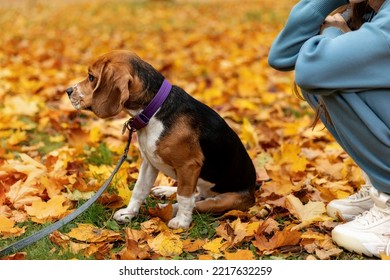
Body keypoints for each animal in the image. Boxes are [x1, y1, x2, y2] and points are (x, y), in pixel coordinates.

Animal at [66, 50, 256, 230]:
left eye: (91, 77)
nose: (68, 91)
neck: (154, 110)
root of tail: (254, 190)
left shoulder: (189, 165)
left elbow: (184, 196)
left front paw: (182, 222)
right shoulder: (149, 162)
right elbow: (139, 189)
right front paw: (129, 213)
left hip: (226, 199)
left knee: (198, 203)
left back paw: (166, 208)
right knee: (196, 195)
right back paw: (164, 192)